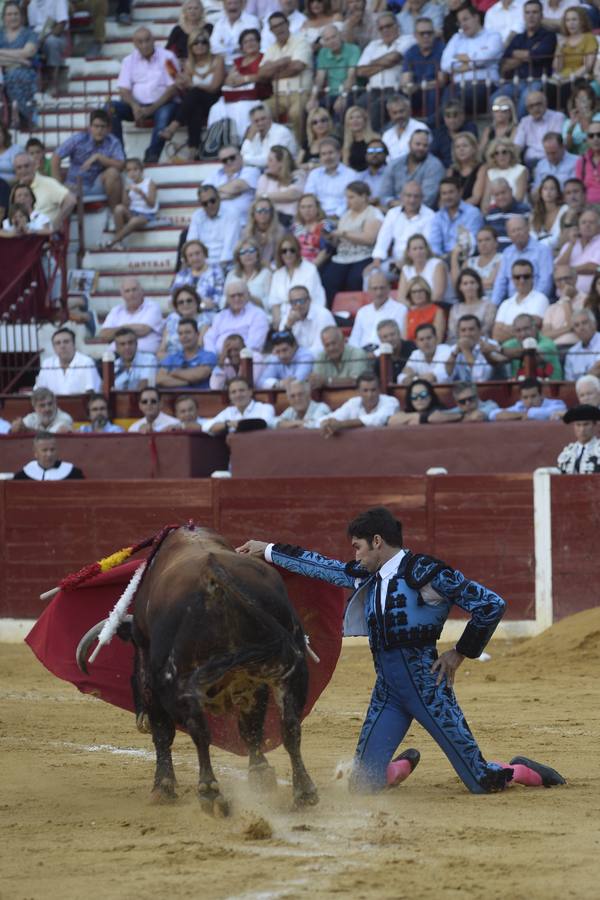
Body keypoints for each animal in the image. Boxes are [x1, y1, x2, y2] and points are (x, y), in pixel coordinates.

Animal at [76, 528, 318, 816]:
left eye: (133, 658)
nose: (140, 722)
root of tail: (212, 576)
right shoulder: (251, 681)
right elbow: (251, 727)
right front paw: (260, 776)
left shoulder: (152, 682)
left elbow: (163, 733)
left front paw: (163, 788)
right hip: (289, 670)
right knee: (290, 726)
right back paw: (304, 792)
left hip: (178, 680)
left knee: (199, 731)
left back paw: (210, 794)